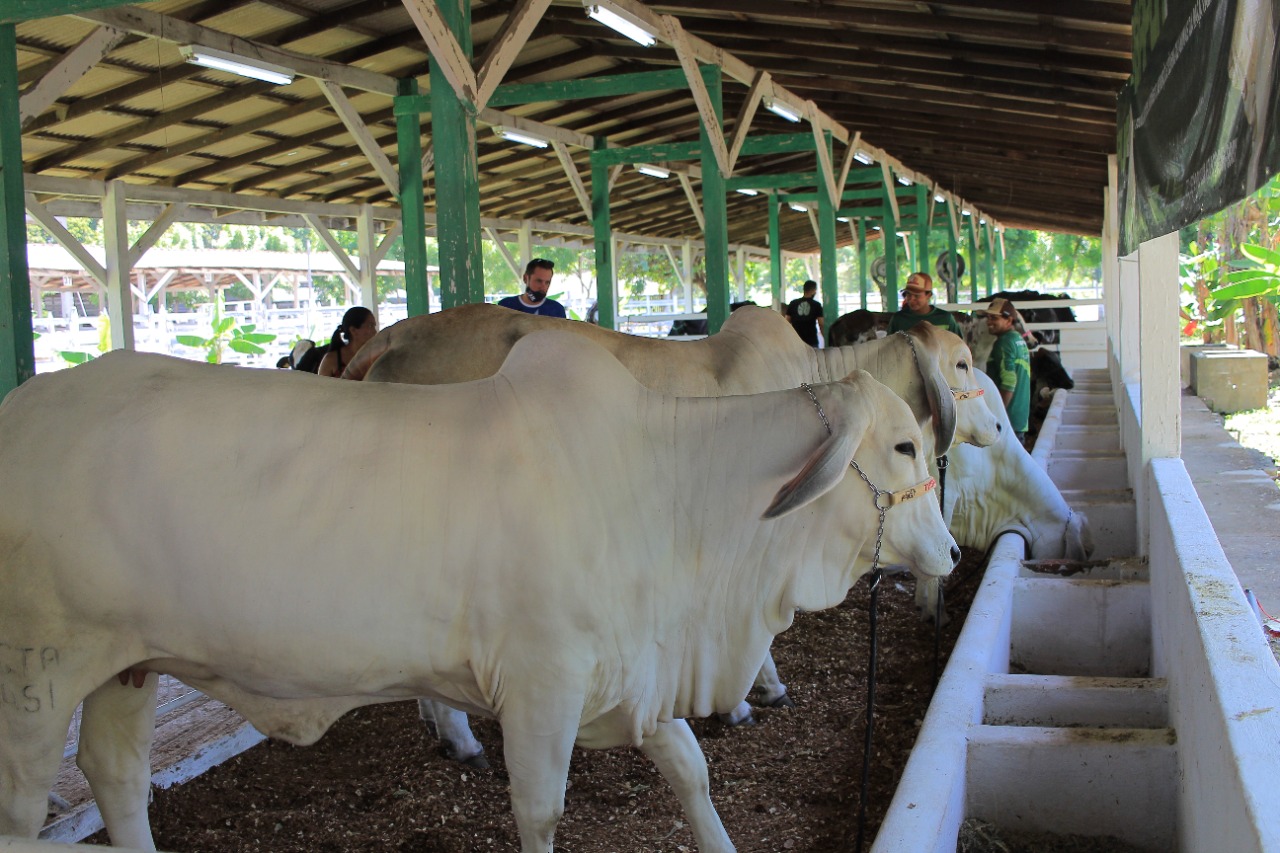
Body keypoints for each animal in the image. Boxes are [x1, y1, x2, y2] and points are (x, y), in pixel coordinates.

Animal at [2, 333, 962, 850]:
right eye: (904, 446)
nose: (953, 551)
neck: (664, 481)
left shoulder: (630, 671)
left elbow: (690, 765)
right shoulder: (543, 688)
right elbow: (541, 810)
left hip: (125, 665)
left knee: (119, 779)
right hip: (37, 679)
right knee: (23, 812)